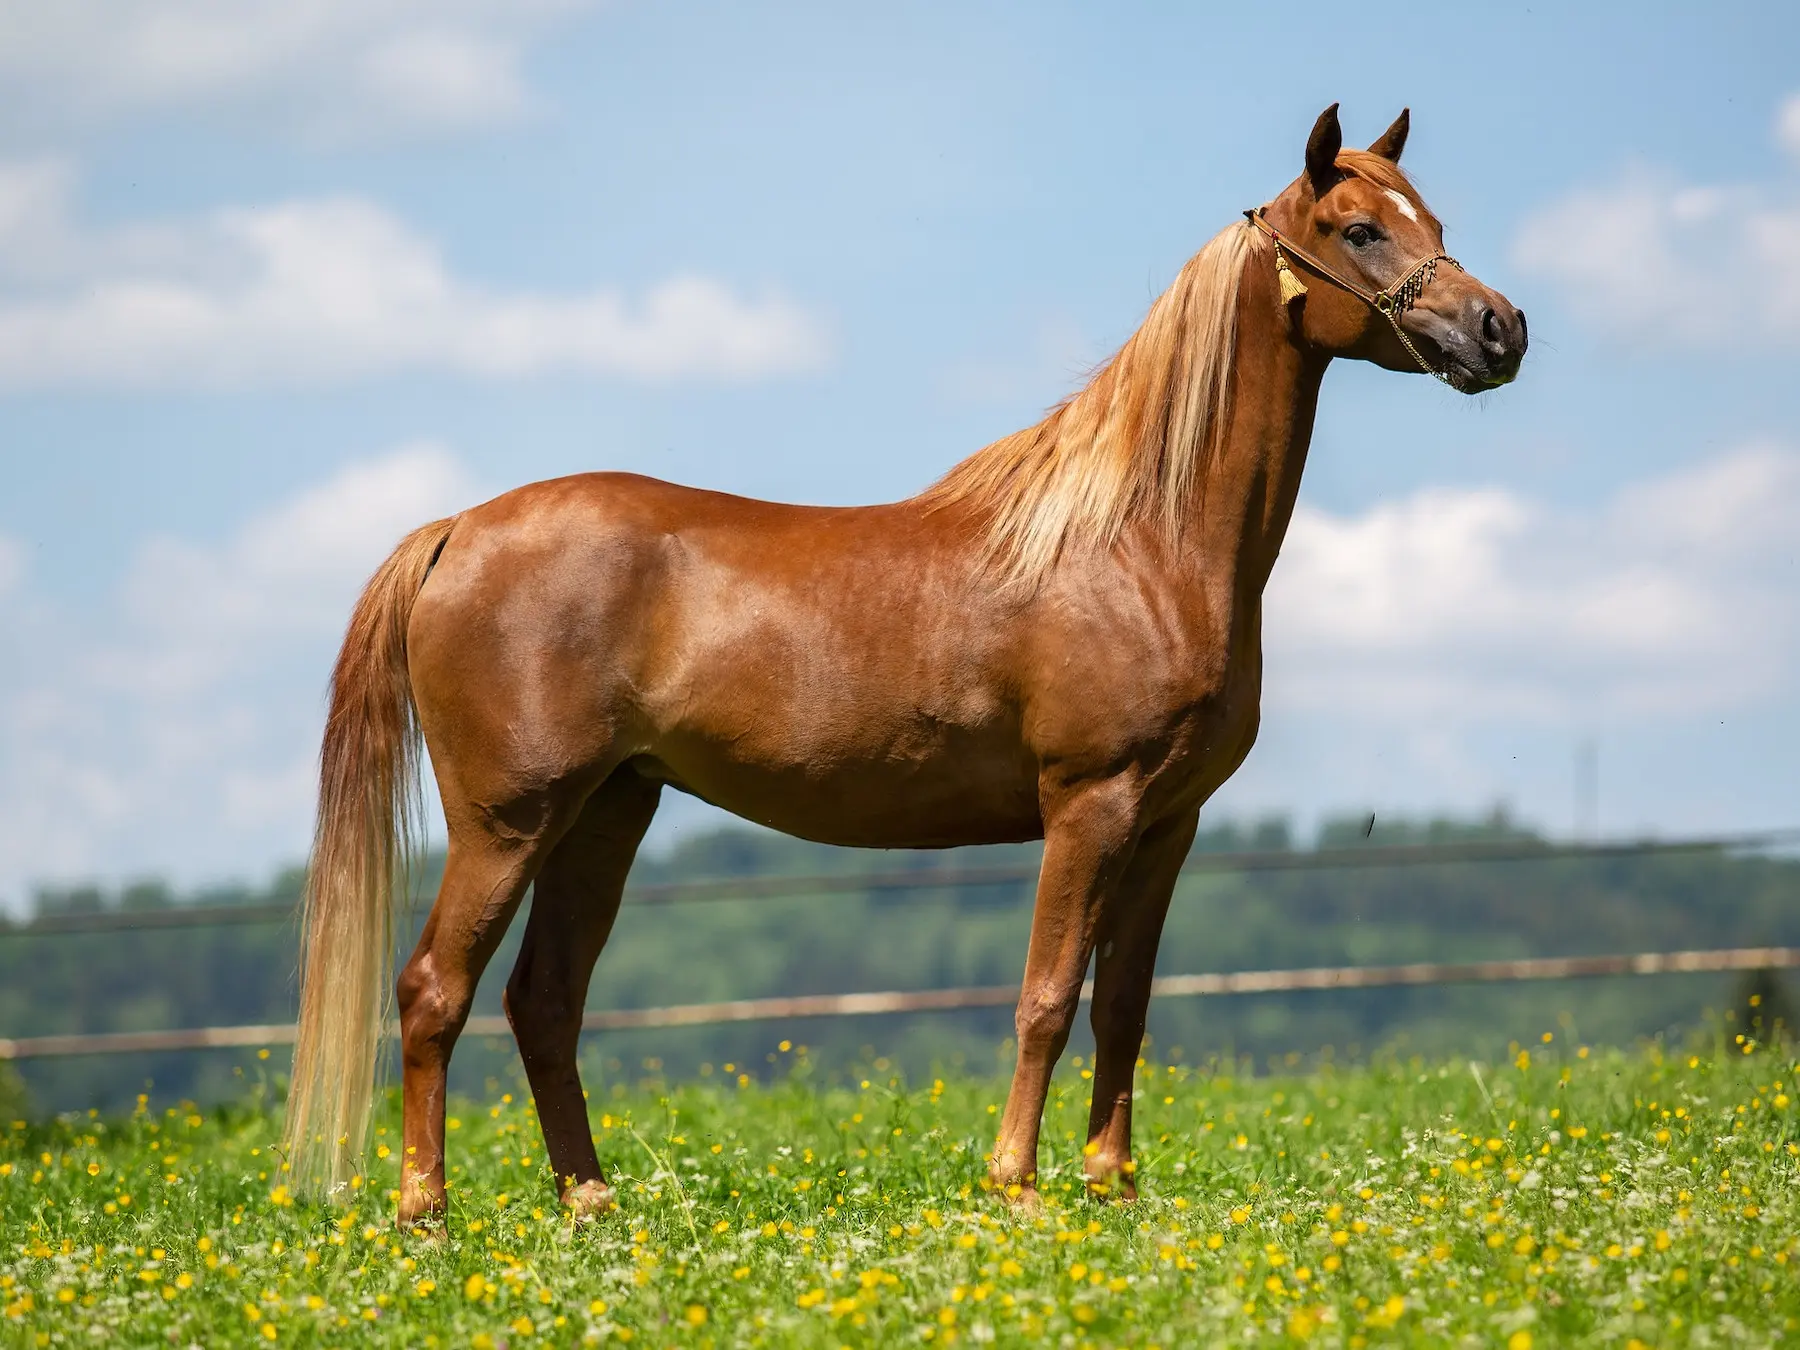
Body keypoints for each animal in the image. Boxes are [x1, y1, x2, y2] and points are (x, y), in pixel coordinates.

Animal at [280, 105, 1519, 1224]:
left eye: (1433, 220)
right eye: (1359, 228)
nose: (1500, 328)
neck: (1138, 539)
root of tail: (456, 530)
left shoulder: (1170, 822)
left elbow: (1123, 1005)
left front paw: (1112, 1187)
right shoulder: (1090, 805)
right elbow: (1046, 996)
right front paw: (1019, 1188)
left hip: (605, 814)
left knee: (544, 1000)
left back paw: (589, 1202)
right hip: (509, 820)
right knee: (433, 991)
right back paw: (425, 1212)